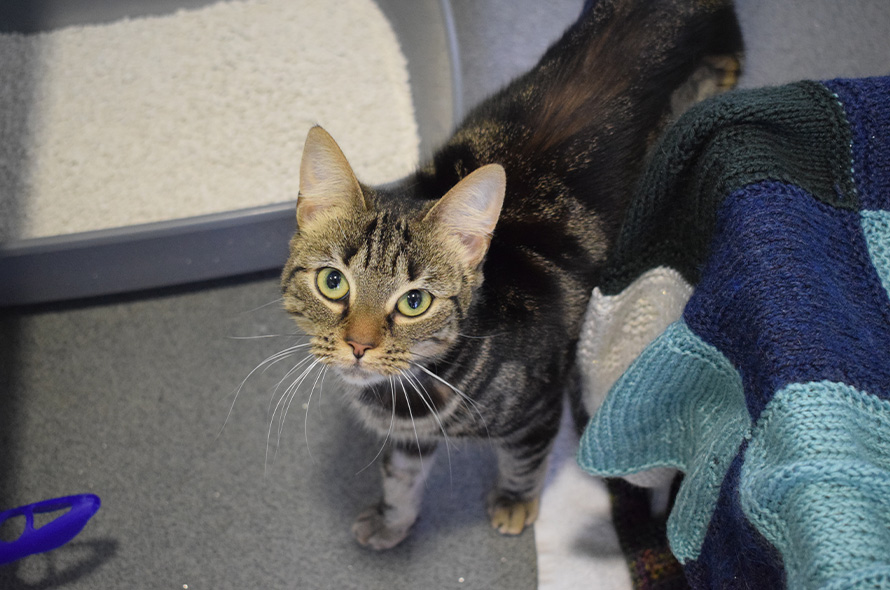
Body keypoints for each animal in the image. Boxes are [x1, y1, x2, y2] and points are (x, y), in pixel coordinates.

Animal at [280, 0, 740, 552]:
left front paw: (515, 503)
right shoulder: (410, 435)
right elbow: (401, 475)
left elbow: (524, 461)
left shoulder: (539, 411)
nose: (358, 345)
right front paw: (392, 519)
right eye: (333, 282)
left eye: (415, 302)